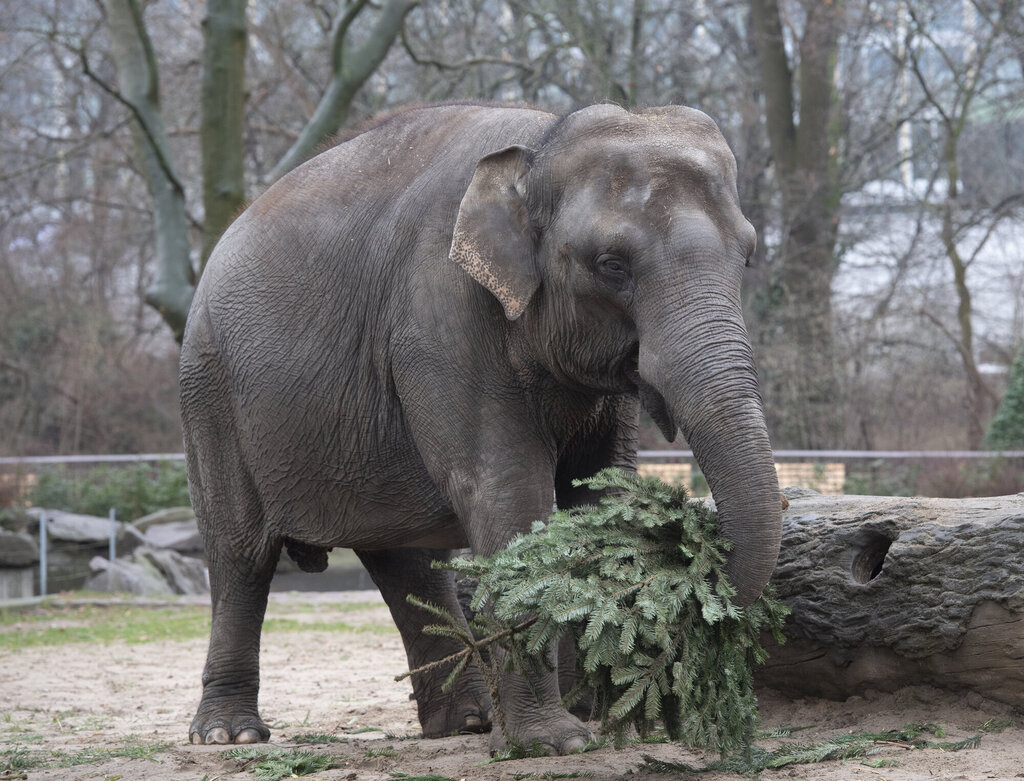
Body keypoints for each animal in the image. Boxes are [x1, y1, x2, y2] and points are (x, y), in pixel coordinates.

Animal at [180, 100, 778, 753]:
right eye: (611, 264)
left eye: (748, 255)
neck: (543, 141)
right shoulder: (442, 313)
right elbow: (505, 489)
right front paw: (556, 742)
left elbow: (597, 494)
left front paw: (596, 714)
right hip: (210, 393)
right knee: (240, 552)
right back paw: (229, 736)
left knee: (405, 560)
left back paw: (466, 723)